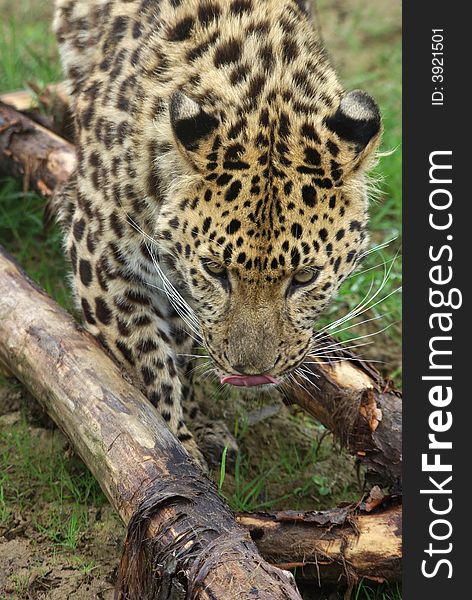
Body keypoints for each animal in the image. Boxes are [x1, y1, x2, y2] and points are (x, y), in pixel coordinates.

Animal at [53, 0, 382, 466]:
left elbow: (185, 339)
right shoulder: (100, 258)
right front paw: (179, 450)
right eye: (215, 270)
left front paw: (198, 421)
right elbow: (148, 359)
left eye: (305, 277)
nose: (251, 372)